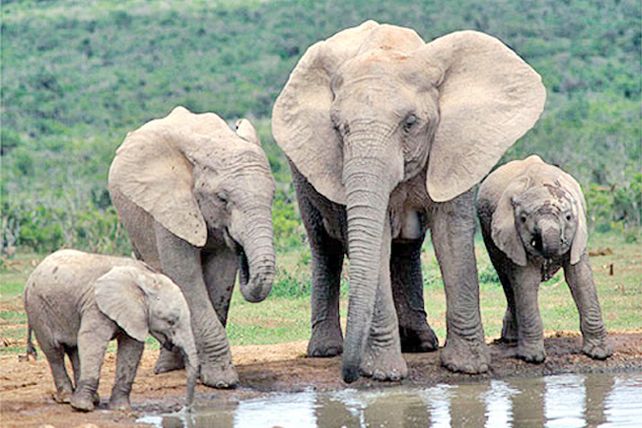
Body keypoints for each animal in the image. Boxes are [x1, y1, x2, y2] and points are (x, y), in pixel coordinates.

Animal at [24, 249, 197, 412]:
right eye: (170, 321)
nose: (185, 408)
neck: (145, 277)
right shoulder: (95, 304)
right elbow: (92, 339)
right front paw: (82, 408)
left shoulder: (135, 314)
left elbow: (131, 348)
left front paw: (121, 408)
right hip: (38, 309)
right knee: (54, 351)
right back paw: (67, 398)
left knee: (74, 349)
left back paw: (91, 399)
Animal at [108, 106, 276, 388]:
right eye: (222, 199)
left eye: (273, 196)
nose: (242, 251)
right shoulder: (169, 205)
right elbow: (185, 276)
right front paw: (222, 381)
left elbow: (220, 277)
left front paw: (208, 374)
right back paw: (166, 368)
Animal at [272, 21, 546, 382]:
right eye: (338, 128)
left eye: (411, 123)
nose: (349, 376)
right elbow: (372, 241)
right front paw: (385, 375)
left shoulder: (455, 146)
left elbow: (451, 236)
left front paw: (467, 368)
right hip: (300, 170)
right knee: (324, 246)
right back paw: (326, 350)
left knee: (407, 246)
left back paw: (420, 343)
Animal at [477, 155, 612, 362]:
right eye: (523, 219)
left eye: (568, 217)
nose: (547, 265)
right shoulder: (512, 234)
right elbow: (526, 281)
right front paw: (533, 358)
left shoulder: (578, 233)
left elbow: (579, 278)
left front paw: (599, 353)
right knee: (506, 279)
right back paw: (511, 339)